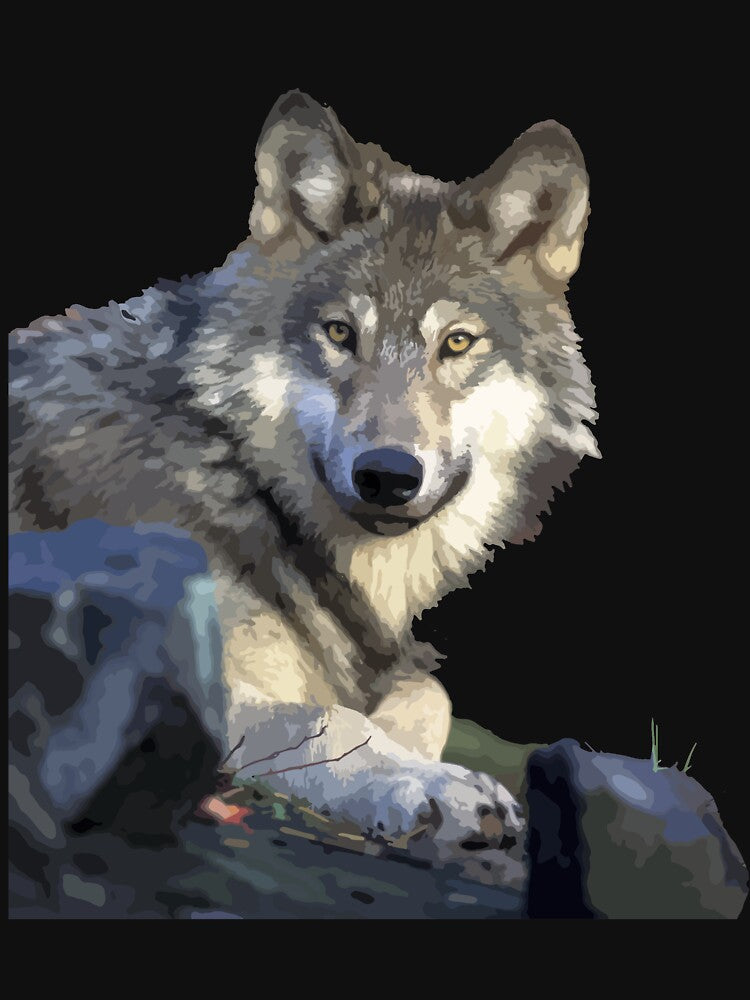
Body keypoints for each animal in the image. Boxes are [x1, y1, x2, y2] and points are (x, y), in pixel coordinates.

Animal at [9, 90, 598, 878]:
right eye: (342, 333)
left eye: (457, 343)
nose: (387, 475)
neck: (241, 479)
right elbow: (326, 717)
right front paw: (427, 787)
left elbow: (429, 692)